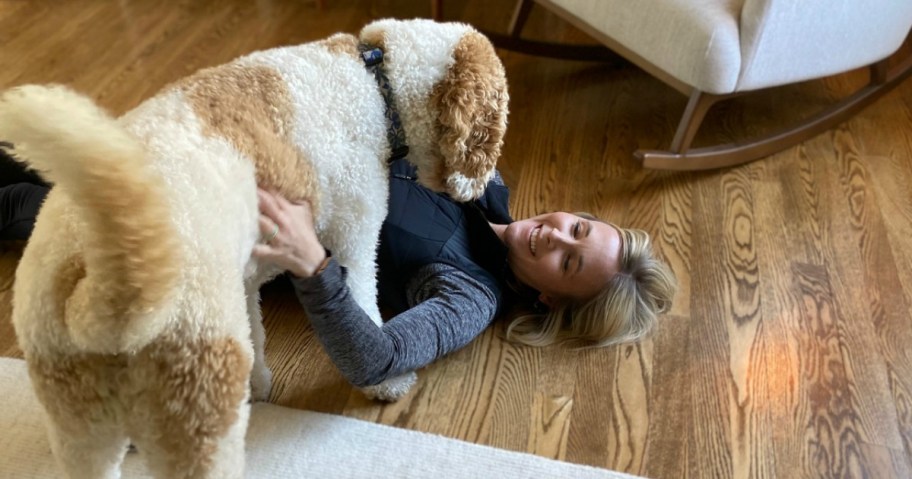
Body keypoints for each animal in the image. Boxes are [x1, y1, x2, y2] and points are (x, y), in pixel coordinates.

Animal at [0, 18, 506, 479]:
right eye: (495, 122)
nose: (482, 189)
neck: (372, 77)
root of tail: (102, 284)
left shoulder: (243, 281)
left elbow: (258, 332)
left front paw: (259, 384)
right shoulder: (355, 240)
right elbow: (367, 307)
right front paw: (387, 385)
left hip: (78, 420)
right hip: (200, 398)